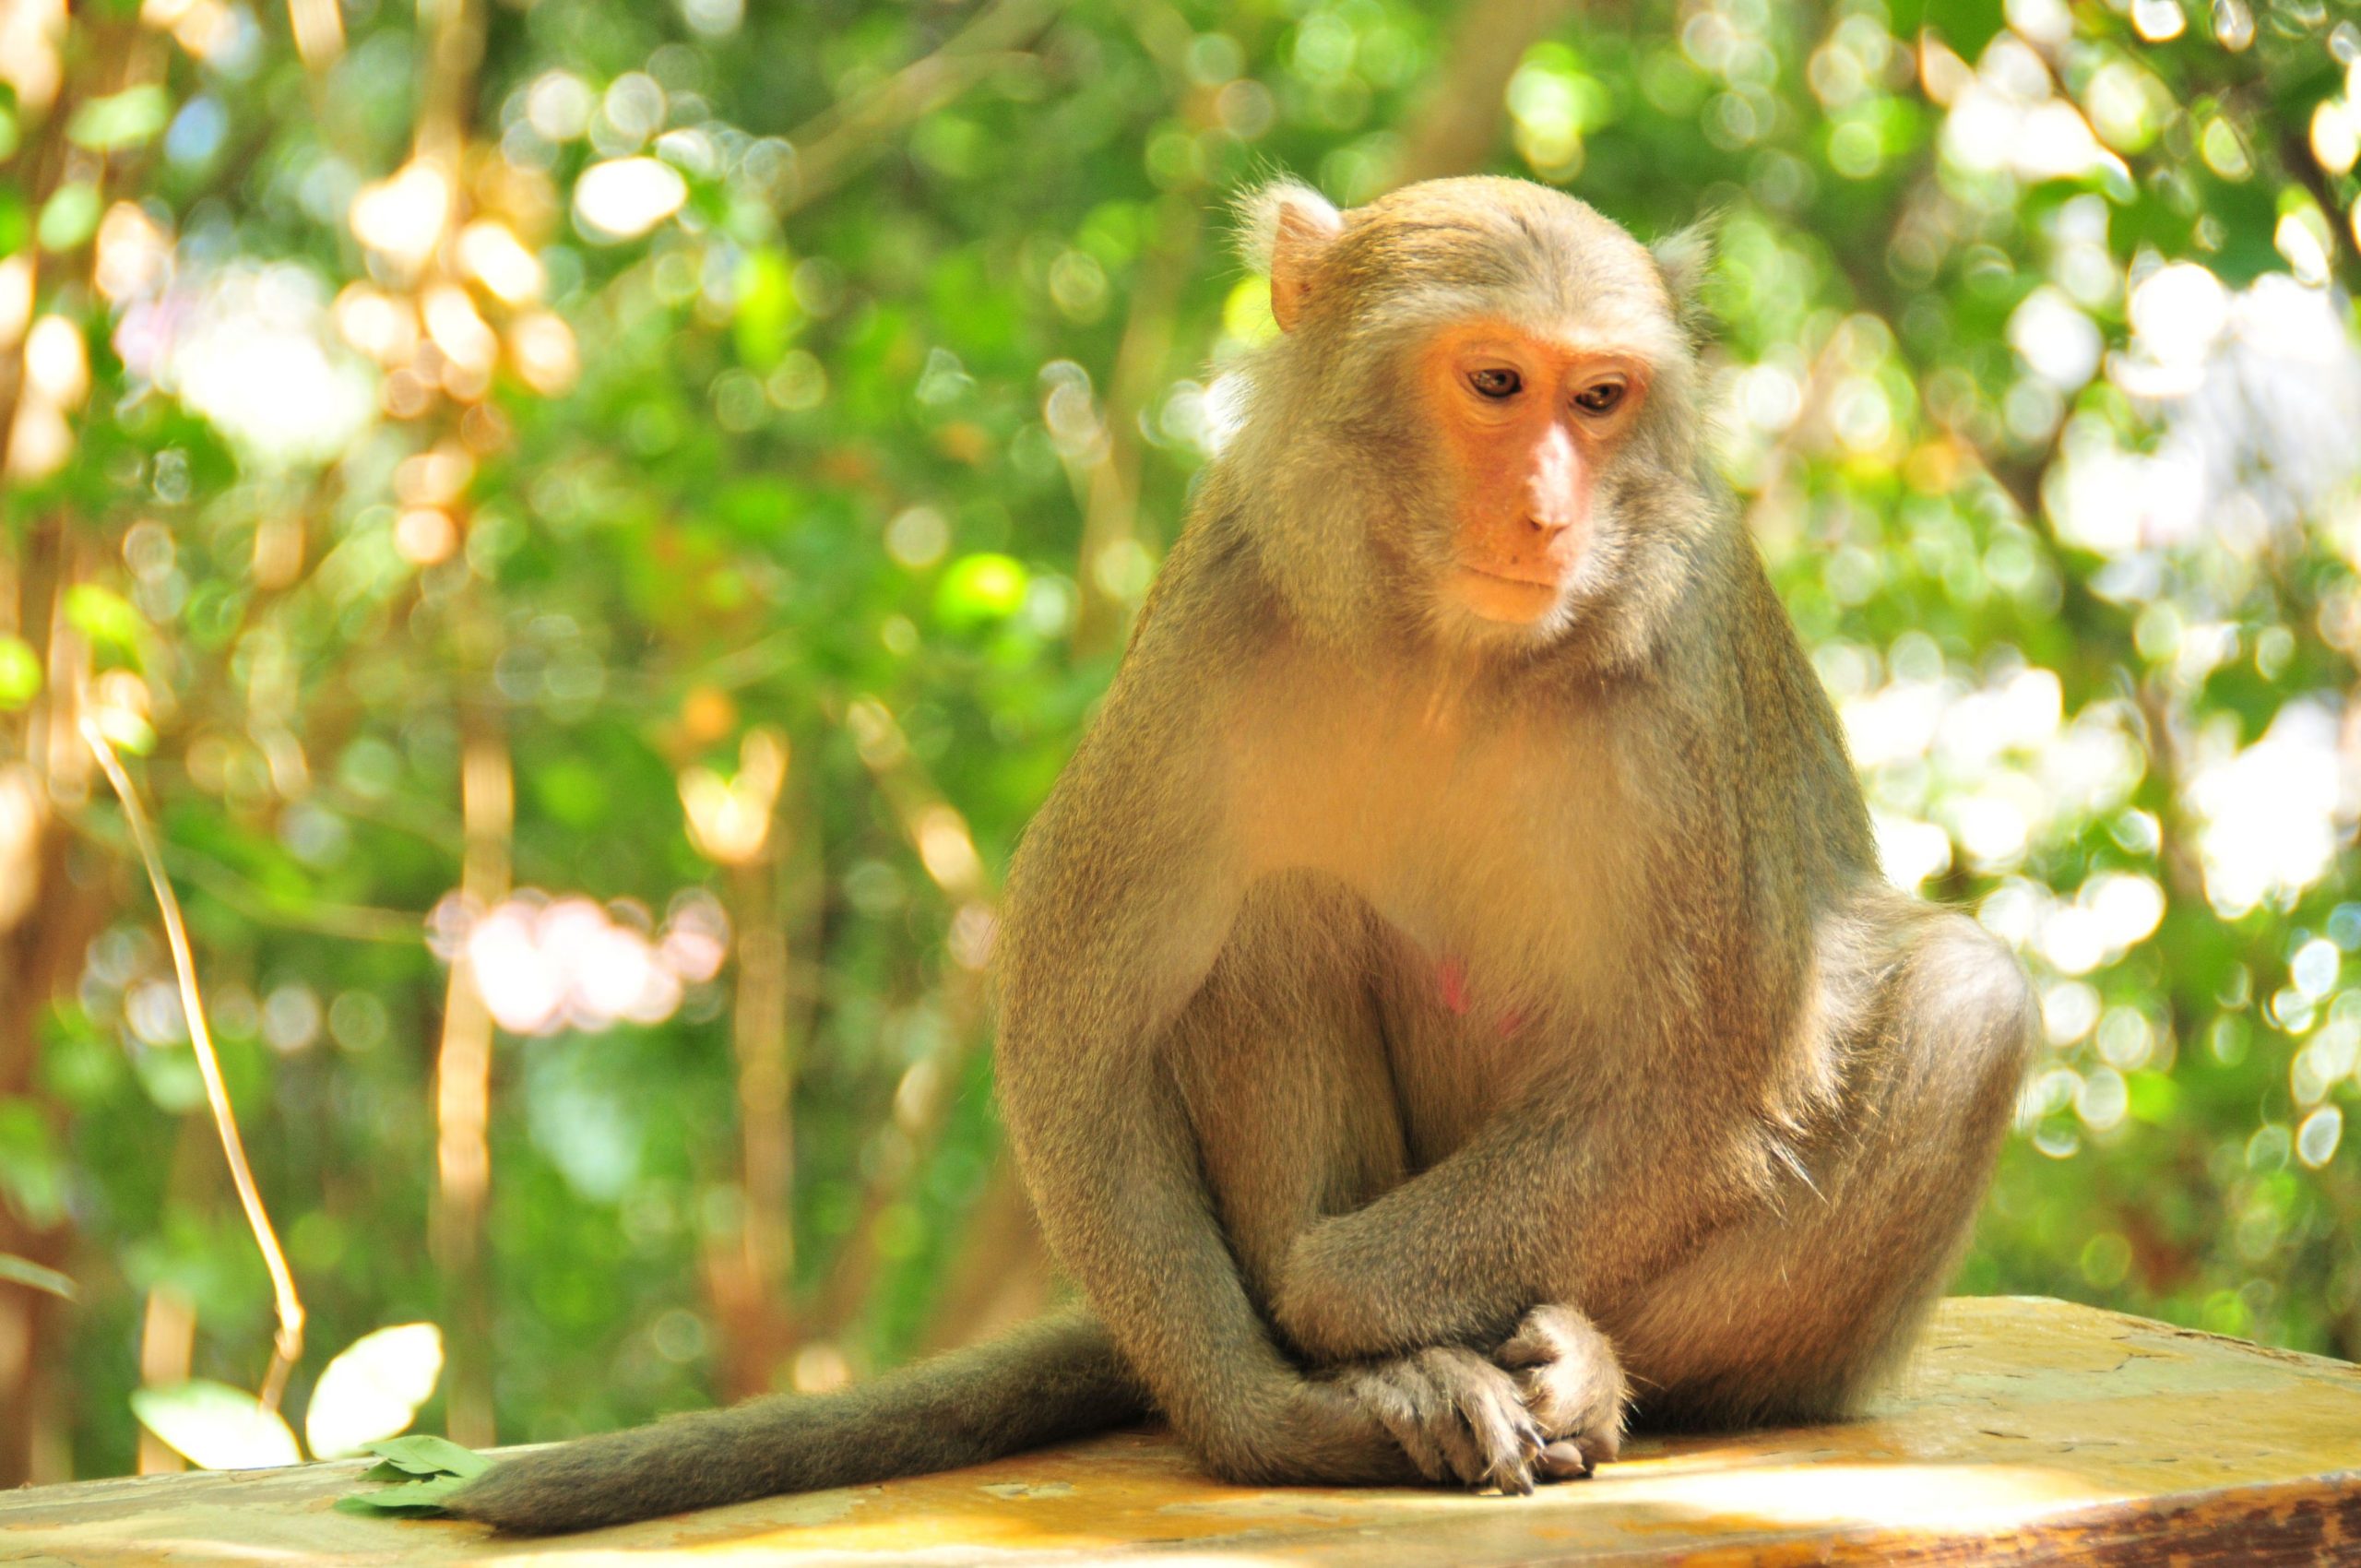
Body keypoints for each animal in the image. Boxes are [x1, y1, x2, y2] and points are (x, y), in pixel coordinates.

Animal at [450, 174, 2039, 1530]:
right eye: (1496, 384)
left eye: (1601, 398)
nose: (1550, 511)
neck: (1451, 656)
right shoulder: (1215, 613)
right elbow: (1080, 1021)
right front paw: (1279, 1403)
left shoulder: (1690, 668)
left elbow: (1707, 1059)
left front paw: (1333, 1300)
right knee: (1277, 922)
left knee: (1962, 1007)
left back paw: (1590, 1363)